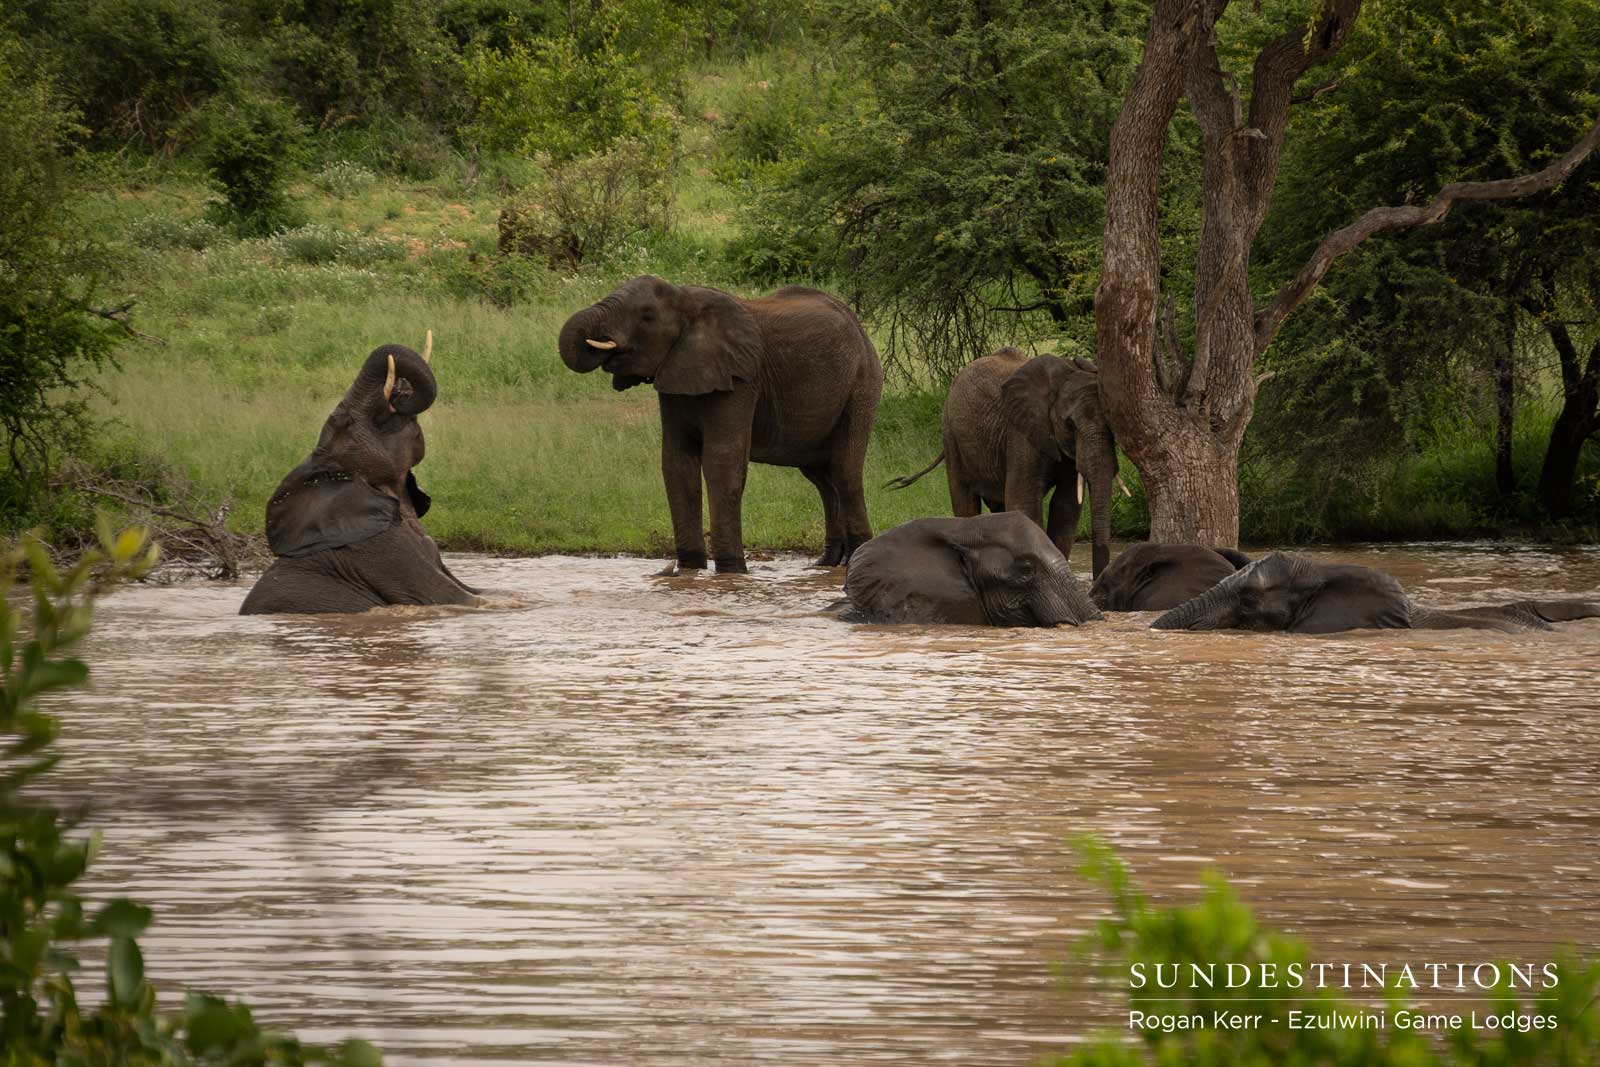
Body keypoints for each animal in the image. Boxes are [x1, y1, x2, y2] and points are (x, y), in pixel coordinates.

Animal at [558, 275, 882, 573]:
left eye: (647, 316)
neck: (686, 299)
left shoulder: (740, 379)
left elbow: (721, 461)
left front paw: (731, 571)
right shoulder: (674, 377)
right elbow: (677, 463)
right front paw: (691, 569)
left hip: (862, 384)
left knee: (844, 471)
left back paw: (856, 559)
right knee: (823, 479)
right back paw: (827, 564)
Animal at [886, 348, 1124, 578]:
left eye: (1112, 423)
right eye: (1069, 424)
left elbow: (1066, 506)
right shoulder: (1021, 434)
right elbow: (1024, 502)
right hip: (950, 435)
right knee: (965, 501)